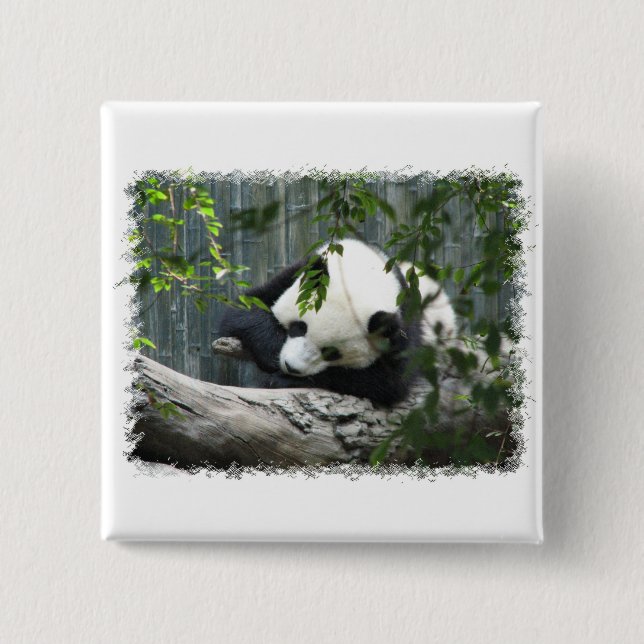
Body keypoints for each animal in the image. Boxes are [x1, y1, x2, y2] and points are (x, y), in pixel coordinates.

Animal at [219, 238, 456, 406]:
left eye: (331, 352)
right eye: (298, 328)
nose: (291, 366)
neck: (364, 274)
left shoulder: (401, 327)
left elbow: (386, 382)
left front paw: (282, 380)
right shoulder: (291, 276)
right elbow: (243, 310)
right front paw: (272, 356)